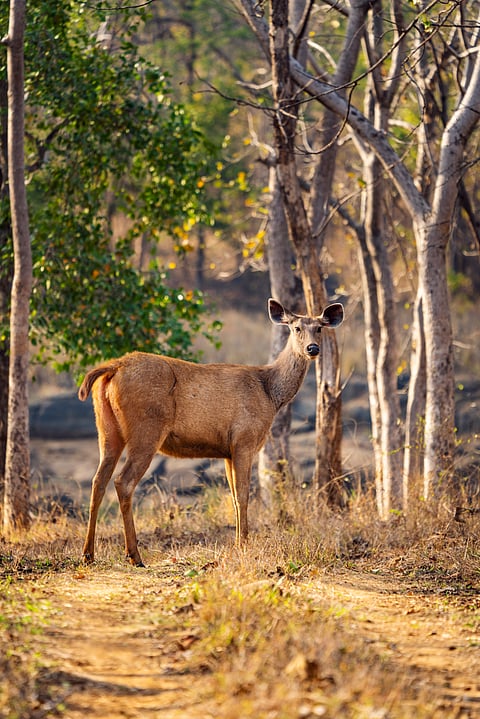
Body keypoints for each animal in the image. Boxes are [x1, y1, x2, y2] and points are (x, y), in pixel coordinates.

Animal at [77, 298, 344, 566]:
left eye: (319, 328)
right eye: (296, 328)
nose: (312, 348)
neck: (269, 393)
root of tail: (115, 366)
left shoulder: (227, 450)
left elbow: (234, 497)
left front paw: (238, 542)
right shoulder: (244, 439)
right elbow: (243, 495)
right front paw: (243, 545)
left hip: (107, 429)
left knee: (98, 481)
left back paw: (88, 554)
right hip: (147, 429)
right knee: (123, 481)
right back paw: (134, 555)